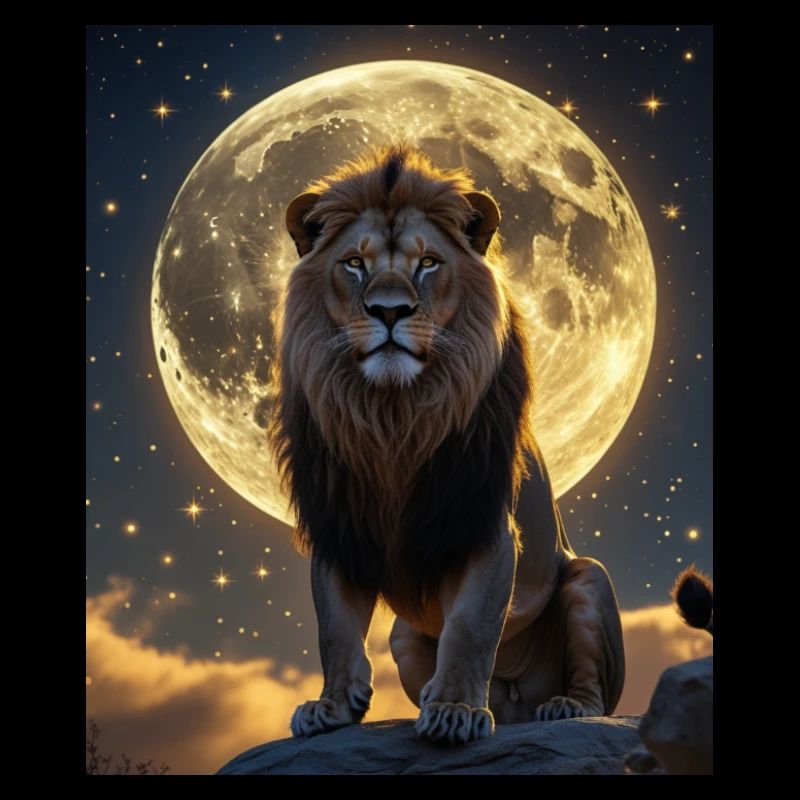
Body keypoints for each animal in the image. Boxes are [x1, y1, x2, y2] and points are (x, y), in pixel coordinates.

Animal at [270, 147, 625, 744]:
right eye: (355, 263)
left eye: (428, 263)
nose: (390, 311)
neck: (393, 416)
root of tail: (516, 702)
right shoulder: (339, 526)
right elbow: (335, 630)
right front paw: (333, 706)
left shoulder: (482, 525)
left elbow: (470, 627)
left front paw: (456, 710)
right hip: (403, 637)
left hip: (588, 579)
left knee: (592, 690)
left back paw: (562, 708)